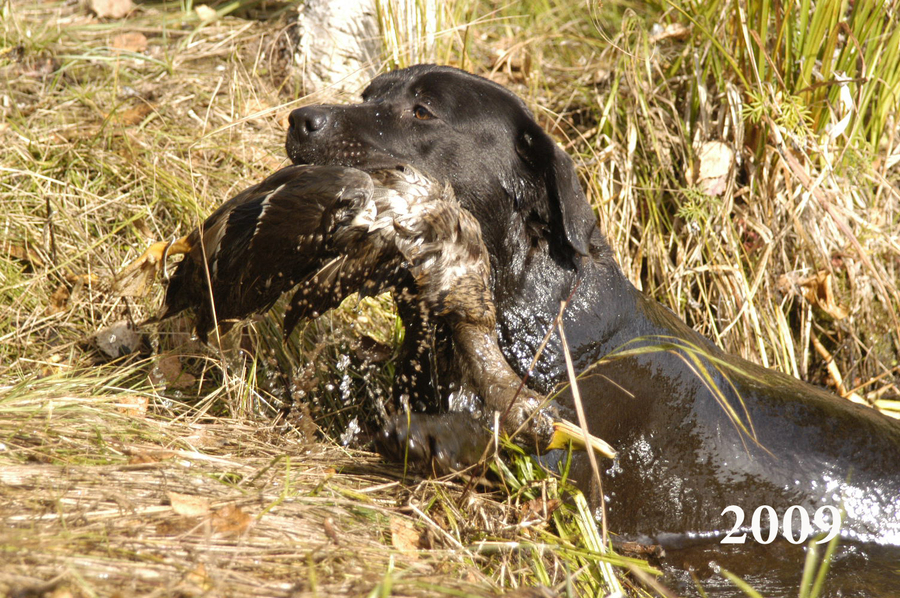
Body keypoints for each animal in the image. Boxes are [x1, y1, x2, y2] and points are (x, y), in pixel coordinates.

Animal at [286, 65, 900, 592]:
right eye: (368, 94)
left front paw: (435, 435)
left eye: (422, 111)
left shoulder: (584, 464)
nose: (302, 119)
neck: (552, 327)